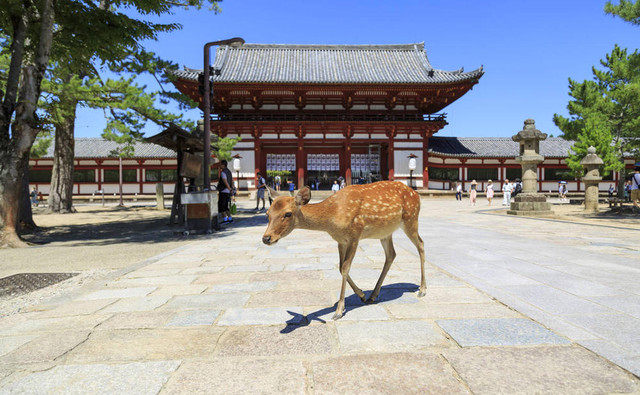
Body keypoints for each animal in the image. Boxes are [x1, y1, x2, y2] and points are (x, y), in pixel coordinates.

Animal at [262, 181, 428, 320]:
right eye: (268, 213)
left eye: (288, 213)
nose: (266, 238)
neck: (332, 217)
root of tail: (416, 195)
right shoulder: (341, 241)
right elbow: (340, 267)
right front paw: (361, 295)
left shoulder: (355, 234)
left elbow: (345, 267)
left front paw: (338, 311)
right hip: (385, 232)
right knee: (391, 254)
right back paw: (373, 295)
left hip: (411, 219)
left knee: (421, 244)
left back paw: (422, 289)